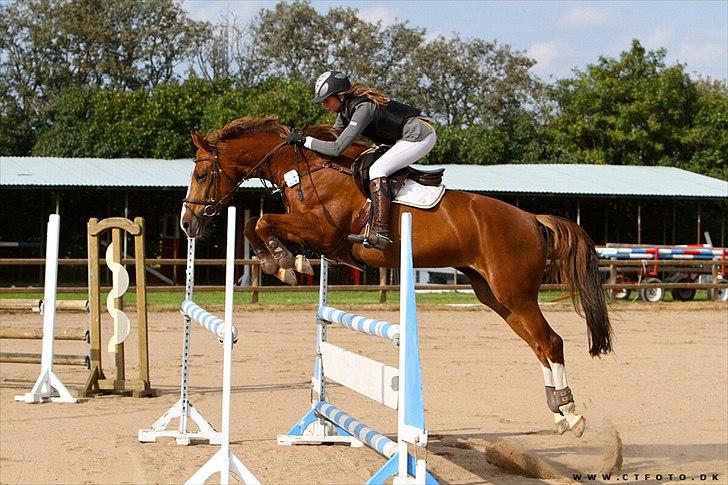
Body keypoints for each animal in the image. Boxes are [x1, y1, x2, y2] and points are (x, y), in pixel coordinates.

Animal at [179, 115, 612, 436]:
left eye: (200, 176)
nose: (187, 224)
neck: (305, 169)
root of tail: (532, 219)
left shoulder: (323, 233)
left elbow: (262, 222)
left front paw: (284, 262)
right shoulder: (314, 233)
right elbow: (255, 226)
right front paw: (284, 264)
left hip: (515, 293)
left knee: (551, 341)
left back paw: (573, 414)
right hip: (495, 296)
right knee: (538, 344)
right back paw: (559, 413)